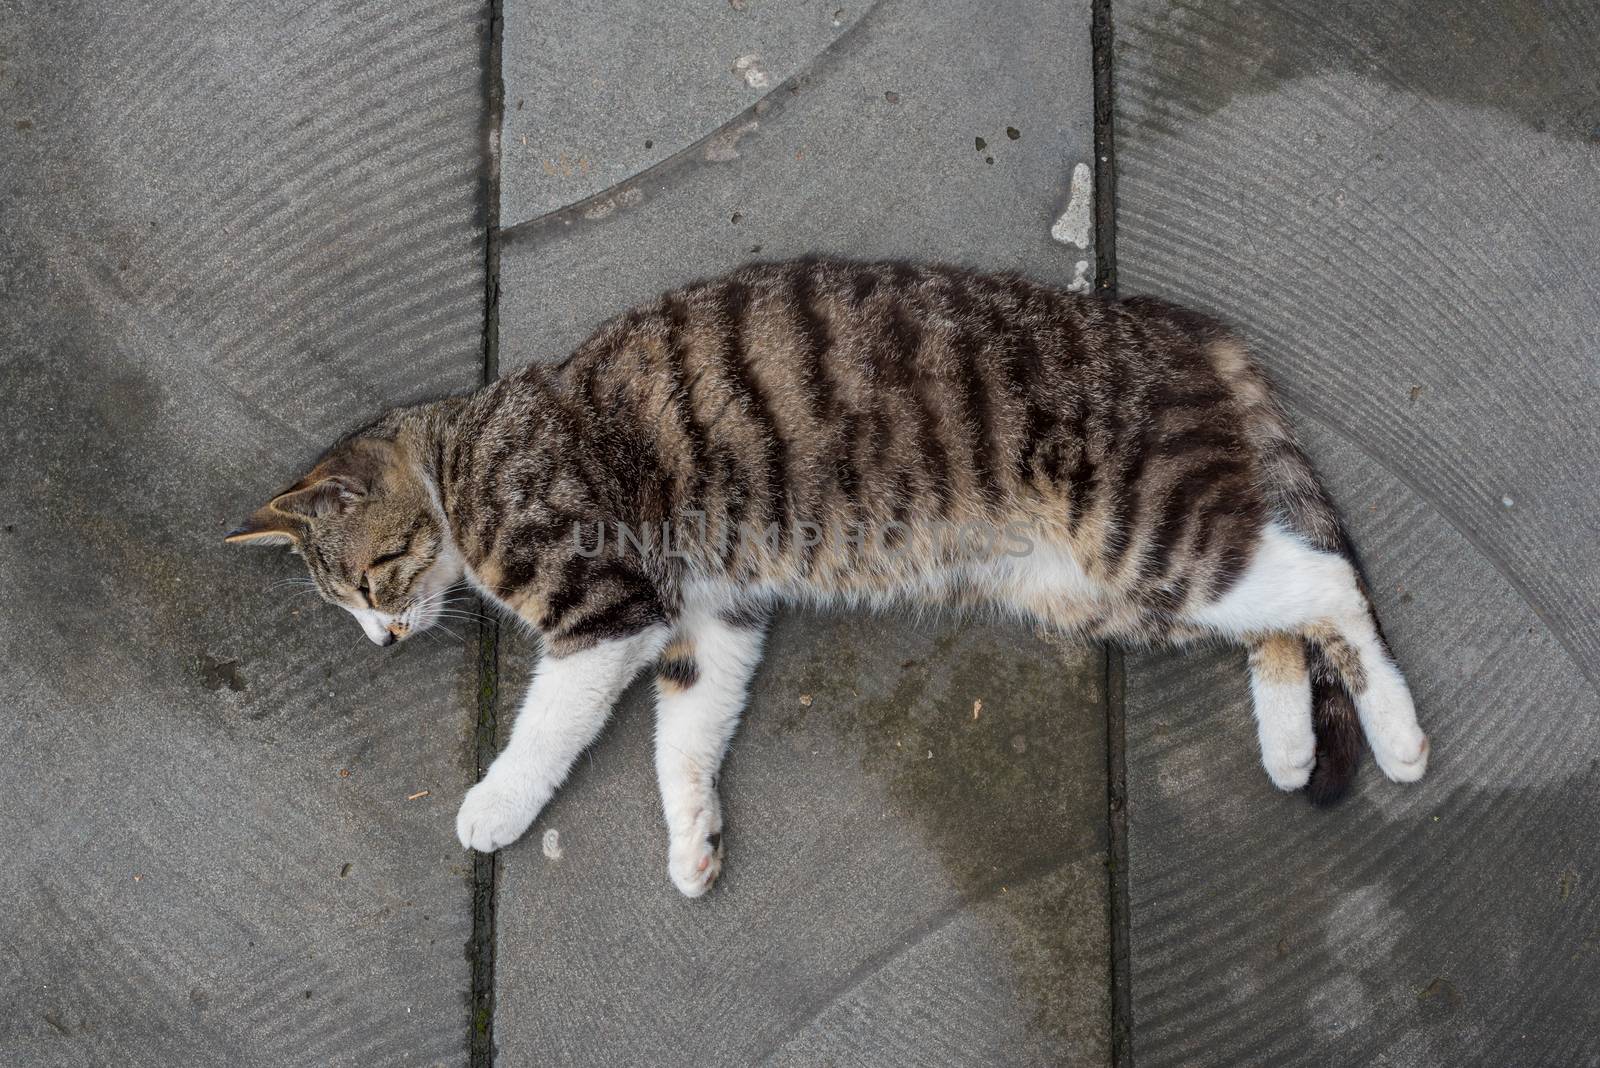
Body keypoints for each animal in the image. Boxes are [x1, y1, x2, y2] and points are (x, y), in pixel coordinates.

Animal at [225, 260, 1427, 901]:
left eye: (372, 579)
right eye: (346, 605)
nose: (383, 640)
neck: (461, 451)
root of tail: (1180, 324)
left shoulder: (607, 607)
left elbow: (550, 726)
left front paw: (494, 805)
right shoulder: (707, 618)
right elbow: (687, 735)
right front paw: (692, 839)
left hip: (1143, 532)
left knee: (1329, 587)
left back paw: (1403, 735)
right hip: (1119, 585)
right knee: (1277, 617)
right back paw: (1287, 744)